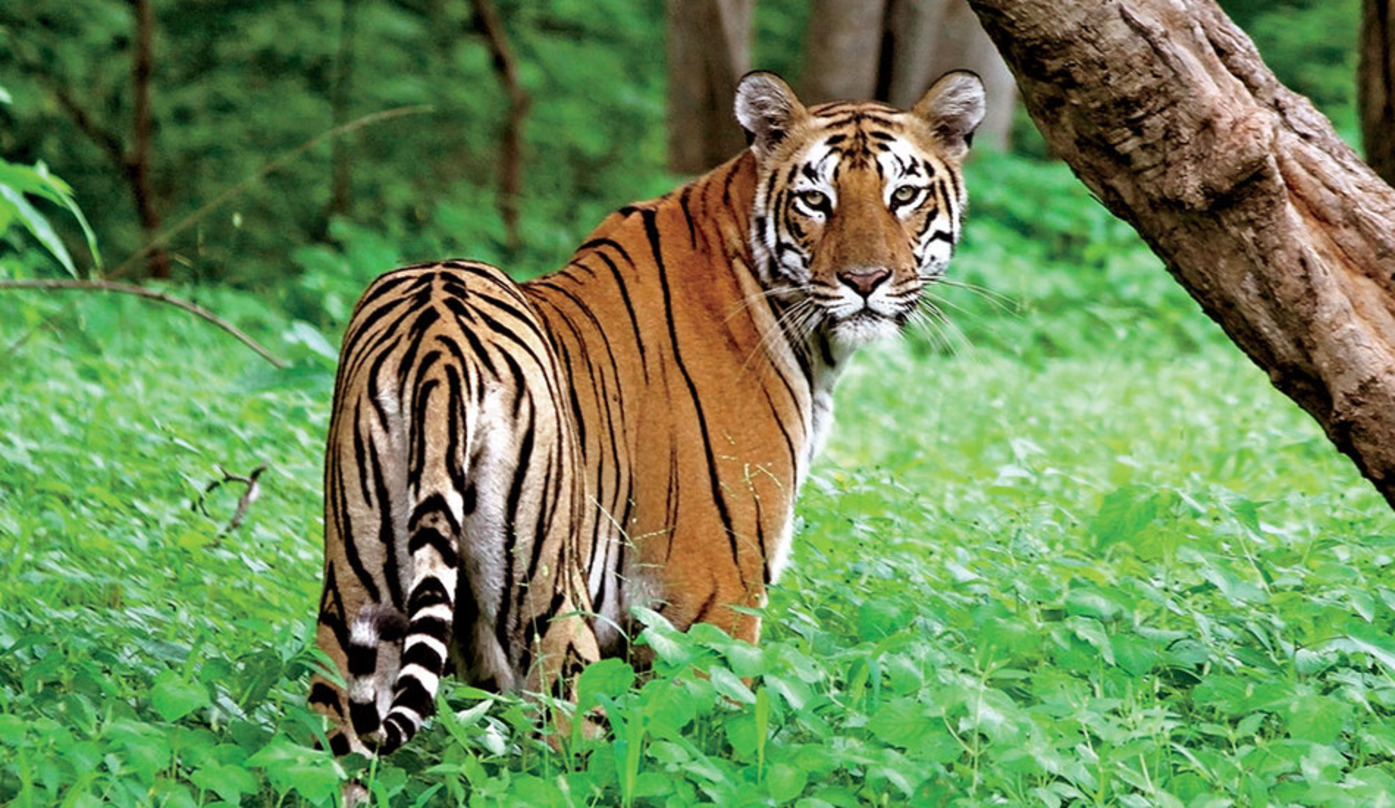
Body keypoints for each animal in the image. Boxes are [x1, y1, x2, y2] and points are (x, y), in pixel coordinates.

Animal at [308, 69, 986, 765]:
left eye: (903, 194)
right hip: (548, 600)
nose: (865, 280)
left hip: (356, 593)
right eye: (815, 200)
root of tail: (437, 335)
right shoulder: (713, 594)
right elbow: (716, 729)